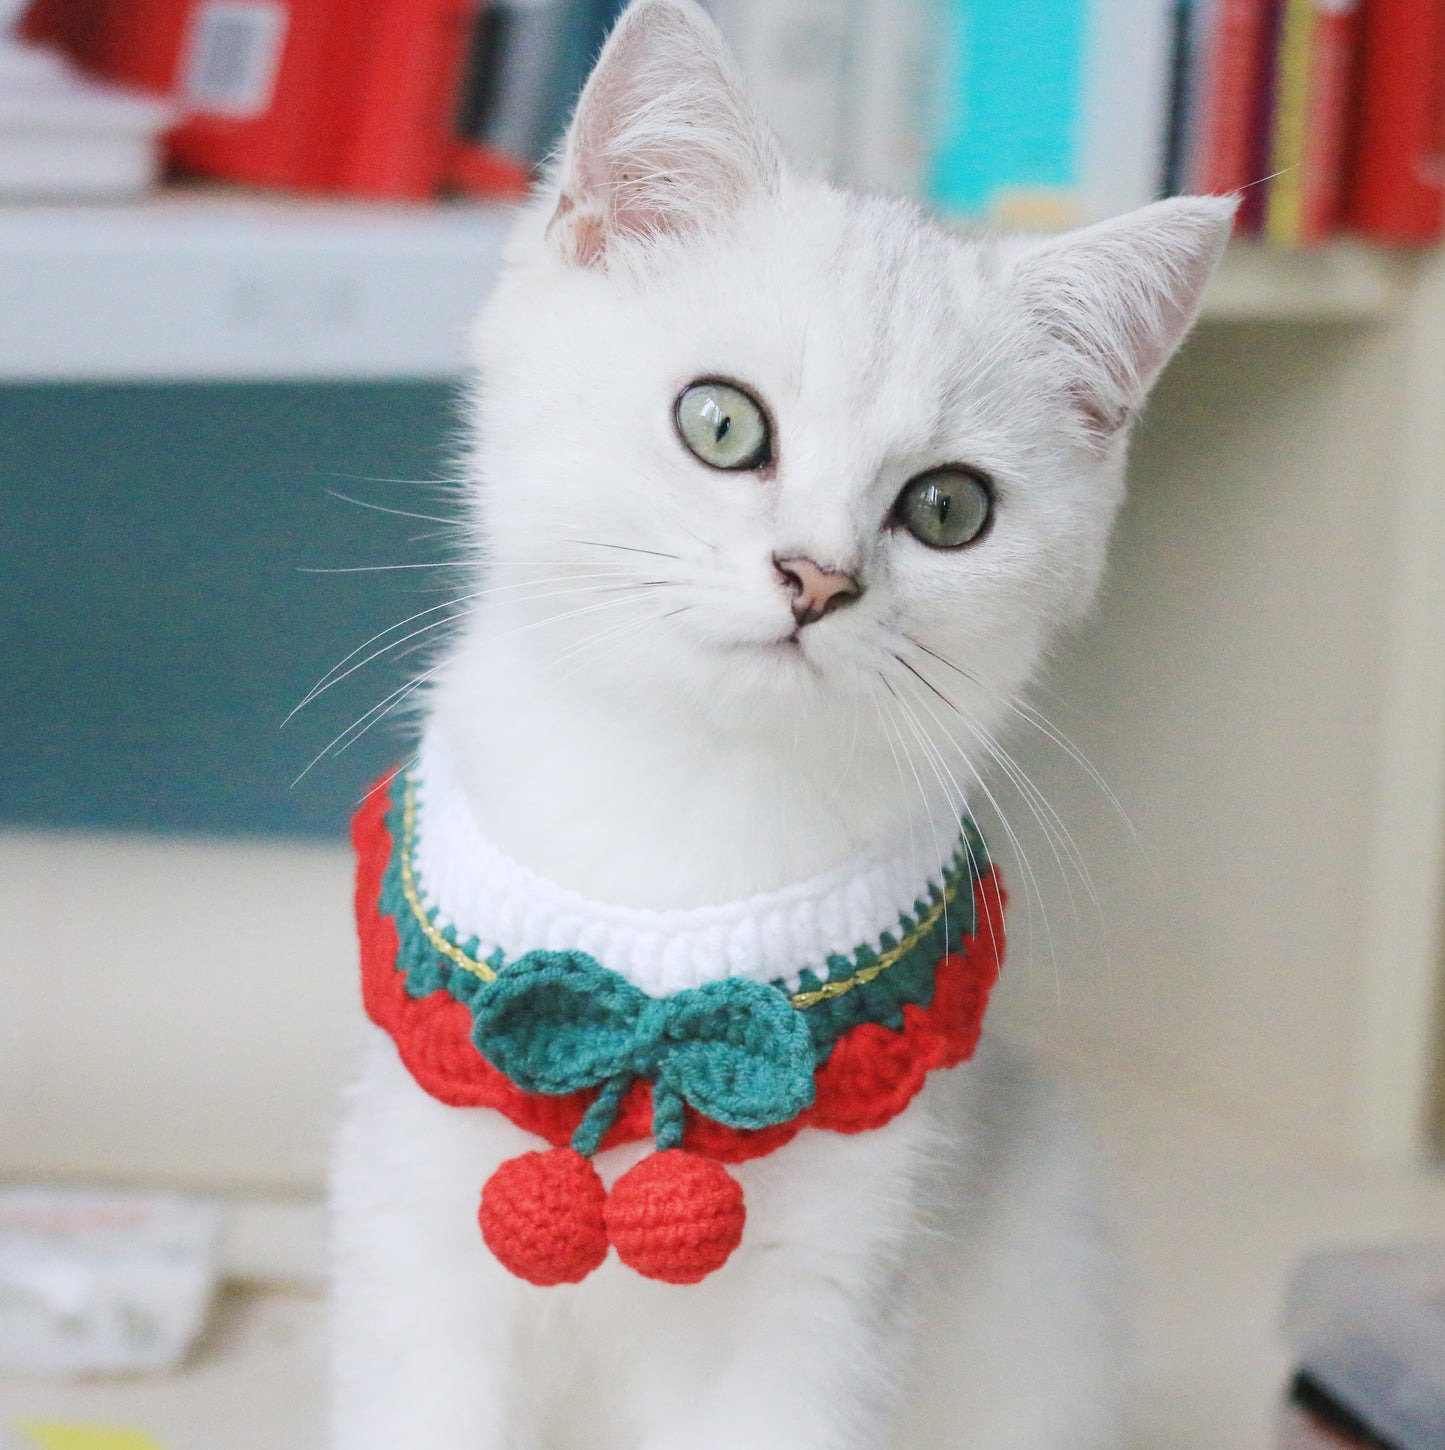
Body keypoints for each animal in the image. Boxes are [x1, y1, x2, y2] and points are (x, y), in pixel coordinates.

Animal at [327, 2, 1229, 1450]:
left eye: (949, 509)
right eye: (720, 420)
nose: (816, 576)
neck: (684, 817)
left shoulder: (831, 1285)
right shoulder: (414, 1227)